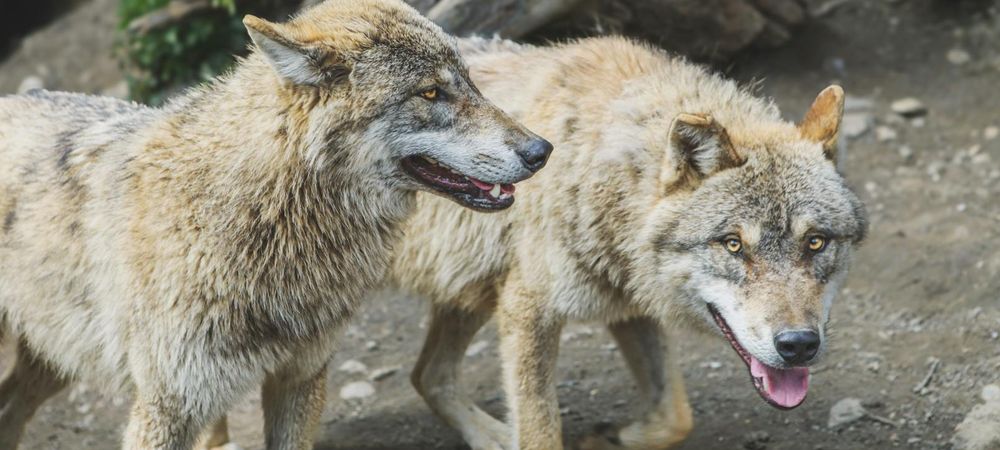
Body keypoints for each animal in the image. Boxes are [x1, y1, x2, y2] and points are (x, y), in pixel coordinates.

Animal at [0, 0, 551, 448]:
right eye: (431, 92)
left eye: (471, 83)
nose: (541, 150)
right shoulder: (169, 407)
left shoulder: (301, 377)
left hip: (53, 362)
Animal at [390, 37, 868, 450]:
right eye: (733, 245)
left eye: (816, 242)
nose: (798, 345)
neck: (597, 167)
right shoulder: (528, 310)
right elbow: (541, 433)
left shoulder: (627, 304)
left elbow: (675, 416)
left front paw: (612, 439)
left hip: (466, 291)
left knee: (427, 376)